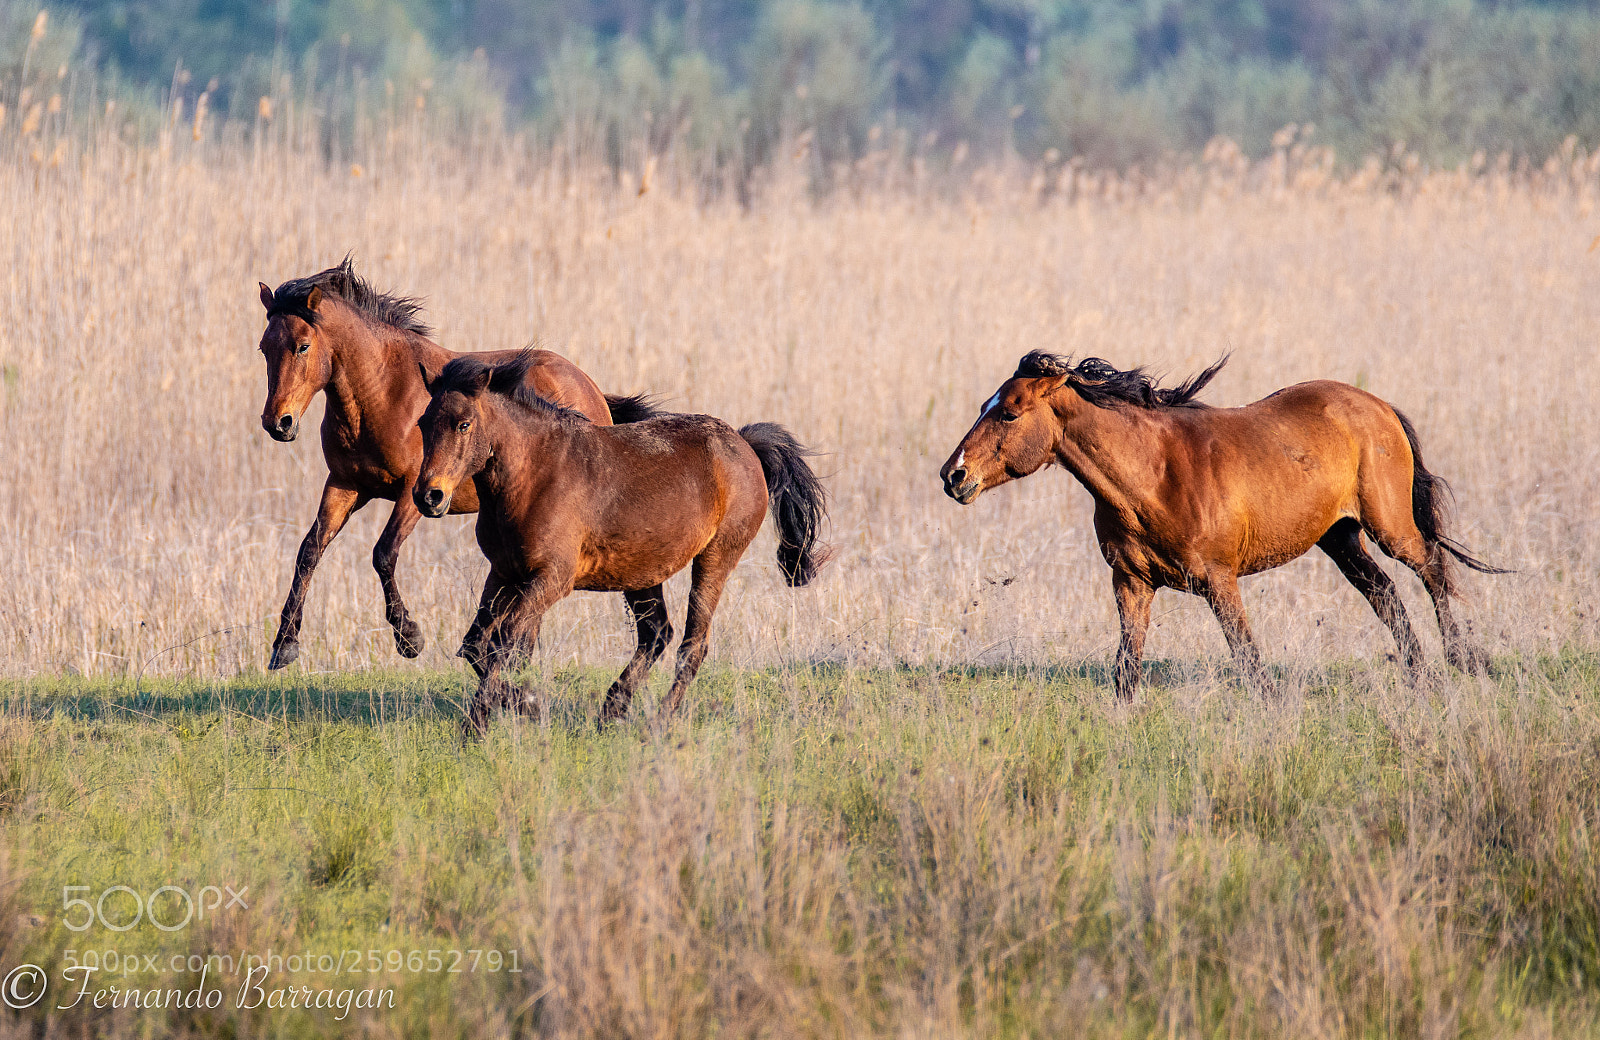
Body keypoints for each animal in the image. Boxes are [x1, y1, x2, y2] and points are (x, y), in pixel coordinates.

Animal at [255, 258, 659, 670]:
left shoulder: (414, 492)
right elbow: (309, 551)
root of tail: (591, 388)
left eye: (303, 346)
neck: (383, 392)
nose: (278, 423)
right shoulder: (344, 484)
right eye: (264, 348)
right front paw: (284, 645)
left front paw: (409, 638)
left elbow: (383, 554)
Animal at [413, 350, 830, 734]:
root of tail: (743, 443)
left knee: (692, 645)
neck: (534, 476)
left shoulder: (551, 579)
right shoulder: (503, 573)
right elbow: (476, 646)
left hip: (715, 559)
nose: (428, 496)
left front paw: (486, 722)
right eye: (422, 422)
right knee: (657, 635)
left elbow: (502, 643)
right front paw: (518, 706)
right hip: (642, 573)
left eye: (464, 424)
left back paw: (658, 723)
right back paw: (611, 711)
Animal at [940, 352, 1504, 700]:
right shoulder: (1131, 582)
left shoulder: (1219, 580)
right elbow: (1126, 668)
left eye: (1010, 413)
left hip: (1389, 528)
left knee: (1432, 568)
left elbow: (1247, 658)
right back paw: (1421, 676)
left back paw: (1464, 662)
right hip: (1339, 538)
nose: (953, 475)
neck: (1153, 475)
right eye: (986, 406)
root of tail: (1378, 405)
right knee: (1384, 593)